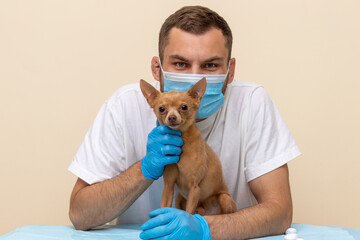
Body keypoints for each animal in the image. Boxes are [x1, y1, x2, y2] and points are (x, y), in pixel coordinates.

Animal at [139, 78, 238, 216]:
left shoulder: (194, 188)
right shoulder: (169, 185)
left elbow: (189, 213)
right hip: (179, 198)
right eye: (161, 109)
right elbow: (164, 207)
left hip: (225, 199)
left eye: (184, 107)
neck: (182, 139)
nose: (172, 117)